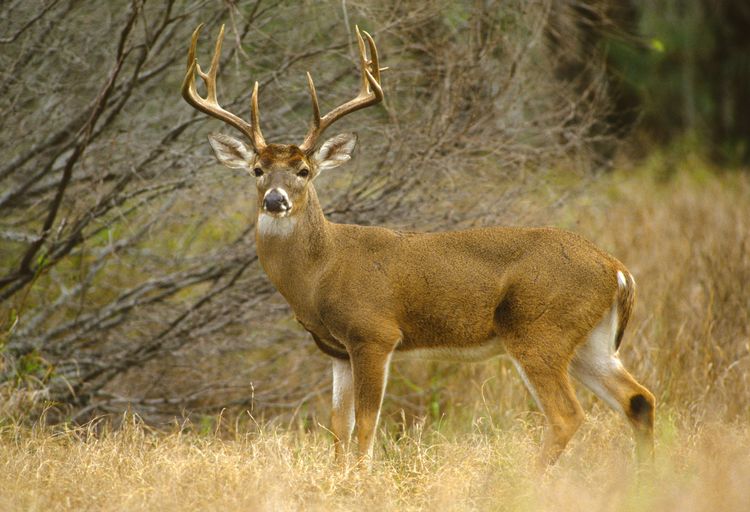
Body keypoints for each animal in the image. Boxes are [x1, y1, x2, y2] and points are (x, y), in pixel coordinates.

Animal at [182, 24, 655, 469]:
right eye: (257, 169)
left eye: (303, 170)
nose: (274, 200)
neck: (322, 270)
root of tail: (617, 269)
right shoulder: (336, 350)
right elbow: (338, 425)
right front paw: (338, 479)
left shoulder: (374, 333)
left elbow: (366, 424)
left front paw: (361, 480)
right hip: (590, 340)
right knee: (638, 399)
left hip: (539, 328)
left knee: (567, 414)